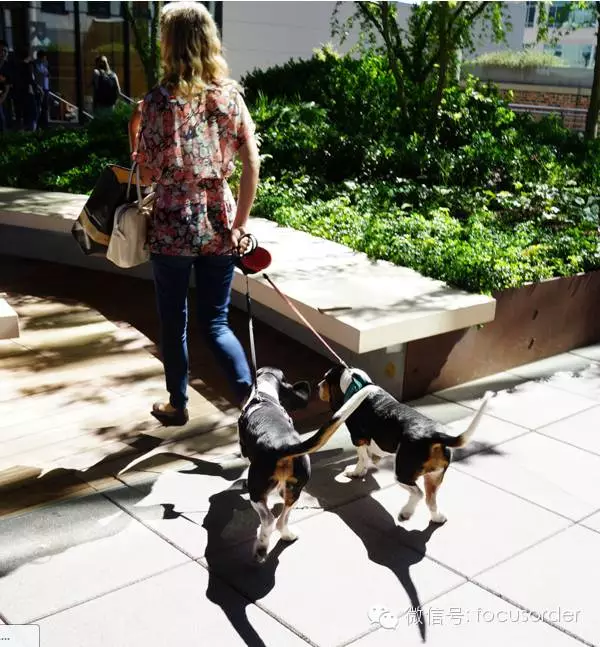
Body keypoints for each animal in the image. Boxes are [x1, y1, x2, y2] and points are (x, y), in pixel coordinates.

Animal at [239, 366, 379, 562]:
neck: (264, 396)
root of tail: (282, 445)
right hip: (296, 492)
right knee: (281, 520)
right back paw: (288, 535)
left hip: (257, 492)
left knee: (268, 520)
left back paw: (261, 548)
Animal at [318, 364, 493, 524]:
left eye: (325, 378)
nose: (318, 386)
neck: (359, 384)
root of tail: (434, 435)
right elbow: (370, 455)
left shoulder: (358, 438)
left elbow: (362, 458)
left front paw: (355, 472)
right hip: (435, 476)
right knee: (430, 499)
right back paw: (437, 518)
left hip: (402, 473)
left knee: (418, 494)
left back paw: (406, 512)